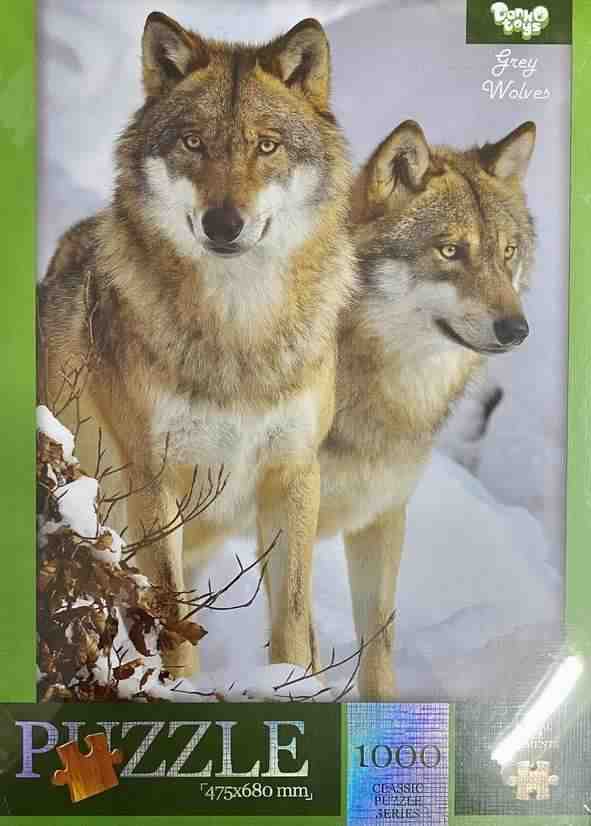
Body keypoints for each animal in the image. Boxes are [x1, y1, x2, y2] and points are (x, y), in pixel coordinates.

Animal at [38, 12, 355, 675]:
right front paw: (177, 689)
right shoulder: (154, 480)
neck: (239, 328)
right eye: (192, 143)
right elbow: (173, 622)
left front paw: (293, 683)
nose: (223, 223)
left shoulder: (293, 474)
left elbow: (292, 619)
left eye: (266, 145)